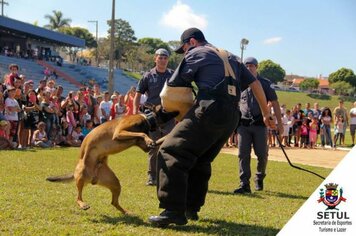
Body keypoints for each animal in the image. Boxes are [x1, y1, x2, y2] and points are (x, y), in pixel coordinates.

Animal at [46, 107, 177, 214]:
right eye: (165, 109)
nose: (178, 111)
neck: (146, 119)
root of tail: (93, 178)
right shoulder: (119, 133)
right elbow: (141, 133)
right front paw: (149, 139)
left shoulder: (144, 146)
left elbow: (151, 139)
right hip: (82, 174)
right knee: (78, 197)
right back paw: (83, 205)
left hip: (113, 182)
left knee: (114, 202)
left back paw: (127, 212)